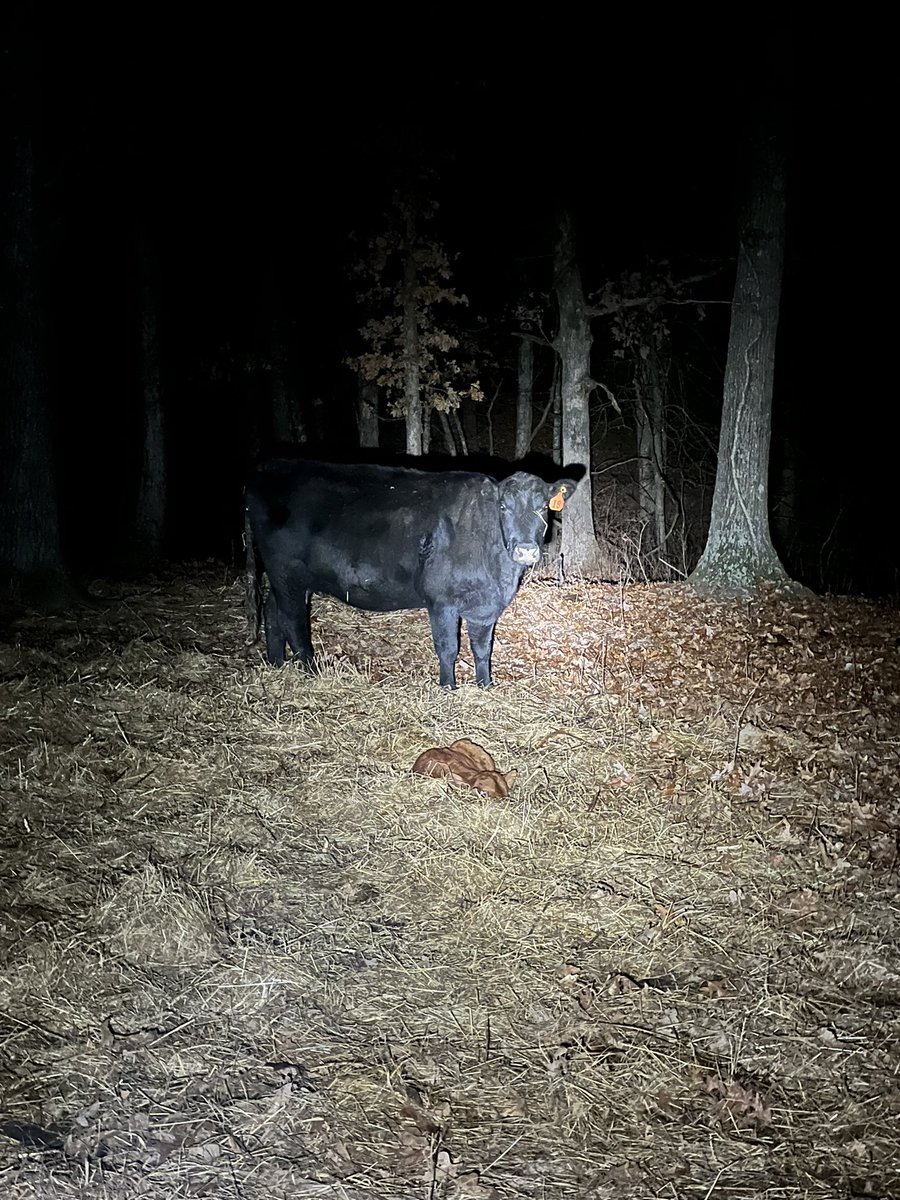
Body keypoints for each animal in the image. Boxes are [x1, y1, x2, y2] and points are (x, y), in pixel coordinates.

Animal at [244, 459, 577, 689]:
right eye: (504, 507)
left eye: (543, 507)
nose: (526, 550)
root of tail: (267, 466)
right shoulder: (441, 600)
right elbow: (448, 648)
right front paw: (448, 688)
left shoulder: (484, 606)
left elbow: (482, 649)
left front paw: (486, 686)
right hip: (287, 572)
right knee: (293, 620)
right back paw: (310, 670)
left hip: (287, 578)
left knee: (273, 612)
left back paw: (276, 663)